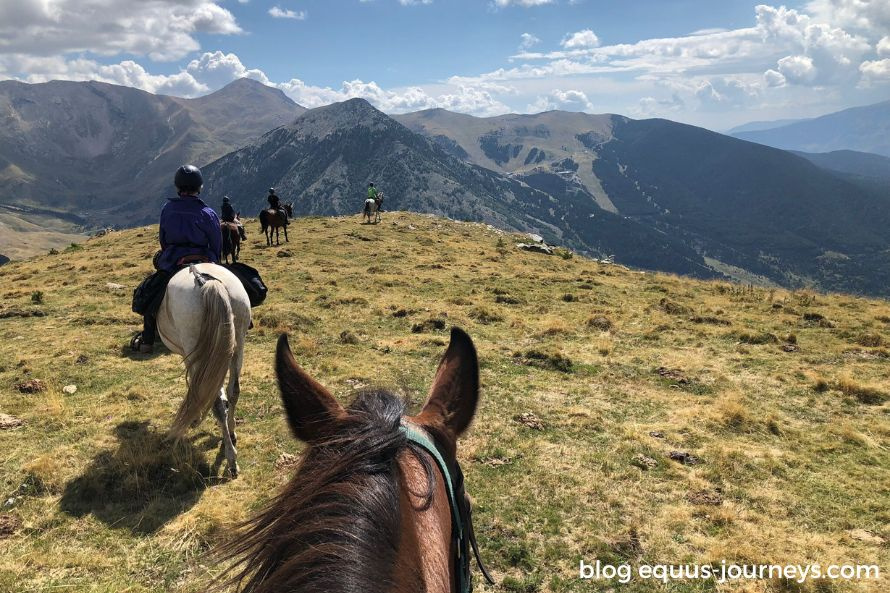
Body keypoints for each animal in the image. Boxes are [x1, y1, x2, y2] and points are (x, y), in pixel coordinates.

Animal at [155, 264, 250, 476]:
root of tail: (204, 280)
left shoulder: (190, 356)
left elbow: (197, 387)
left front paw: (195, 416)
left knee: (216, 401)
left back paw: (231, 459)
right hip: (238, 343)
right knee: (234, 390)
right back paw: (231, 431)